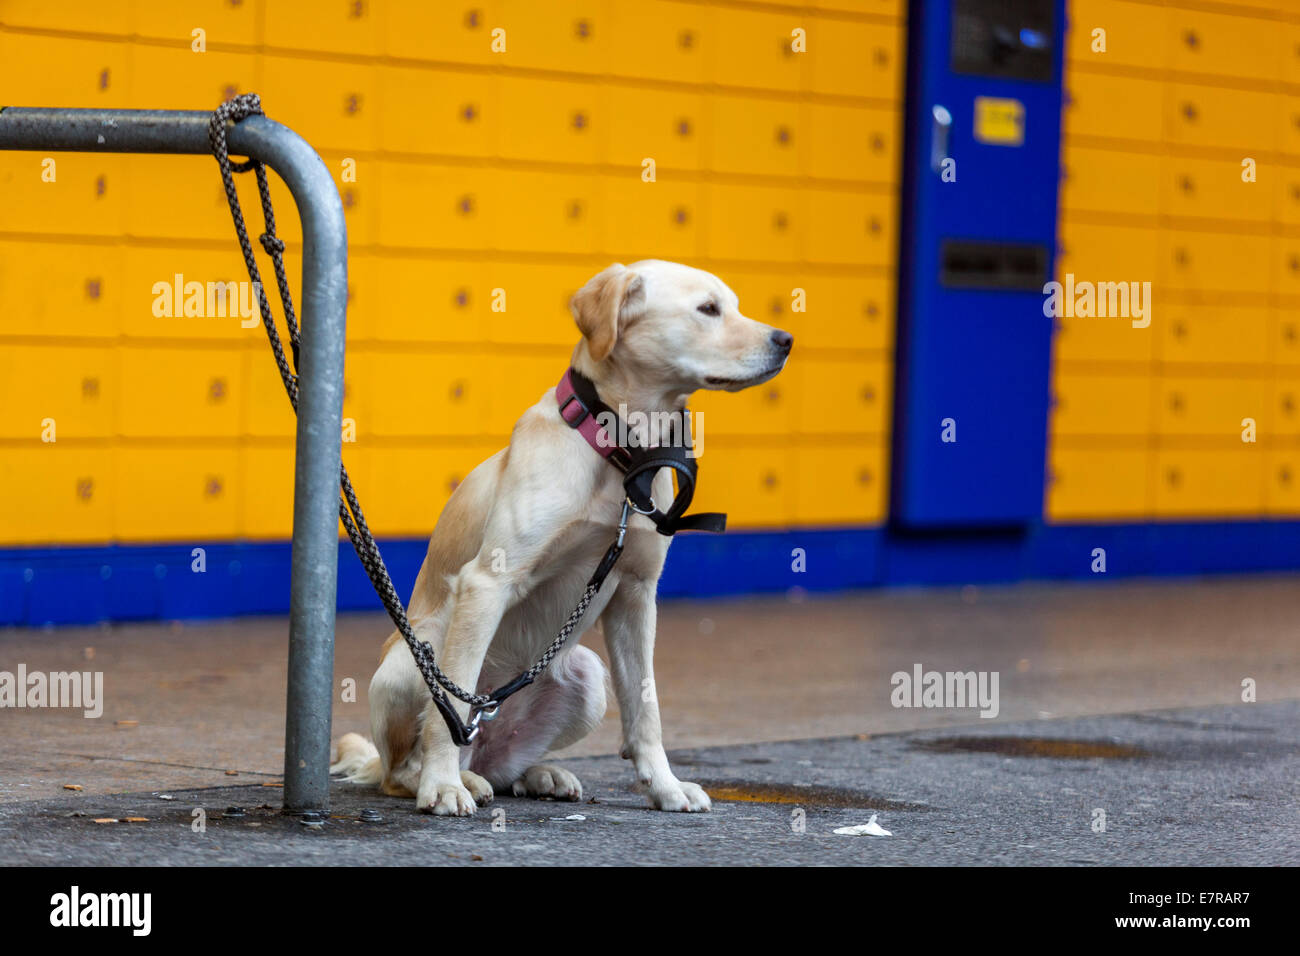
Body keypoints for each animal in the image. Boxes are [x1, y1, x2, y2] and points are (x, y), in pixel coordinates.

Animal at [330, 261, 790, 816]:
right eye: (708, 308)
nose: (787, 340)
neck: (619, 455)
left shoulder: (637, 593)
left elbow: (646, 709)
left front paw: (665, 786)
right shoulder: (487, 583)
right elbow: (451, 706)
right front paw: (441, 786)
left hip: (587, 677)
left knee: (501, 765)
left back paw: (535, 775)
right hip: (414, 659)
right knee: (412, 759)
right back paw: (451, 778)